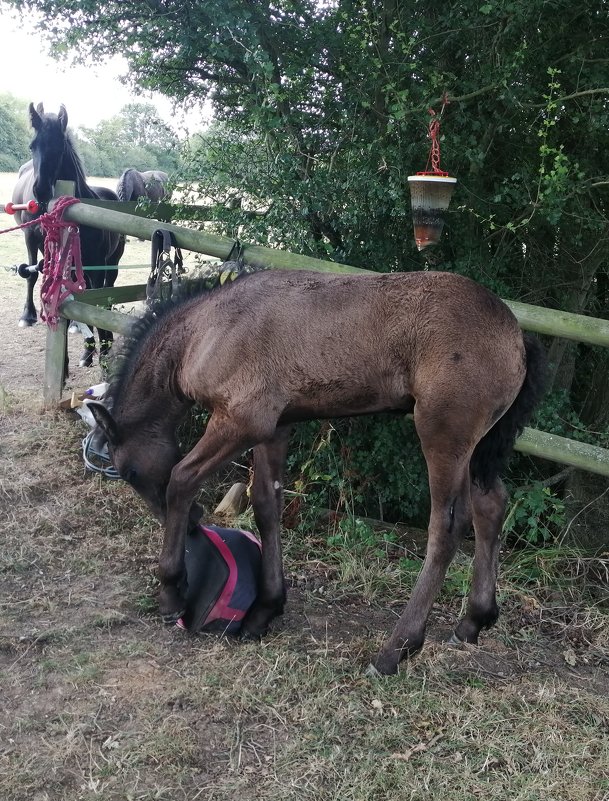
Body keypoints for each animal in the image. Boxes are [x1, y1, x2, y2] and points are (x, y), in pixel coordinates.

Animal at [12, 103, 124, 366]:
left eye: (59, 146)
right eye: (33, 145)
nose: (40, 189)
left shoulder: (95, 266)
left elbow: (95, 299)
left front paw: (103, 347)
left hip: (111, 263)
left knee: (108, 290)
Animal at [86, 270, 548, 676]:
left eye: (128, 470)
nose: (197, 524)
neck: (208, 329)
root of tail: (516, 333)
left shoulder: (241, 421)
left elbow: (182, 479)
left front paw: (172, 590)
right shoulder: (274, 427)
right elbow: (266, 503)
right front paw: (265, 609)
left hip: (442, 433)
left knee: (447, 527)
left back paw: (394, 650)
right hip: (477, 446)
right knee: (491, 505)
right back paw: (473, 621)